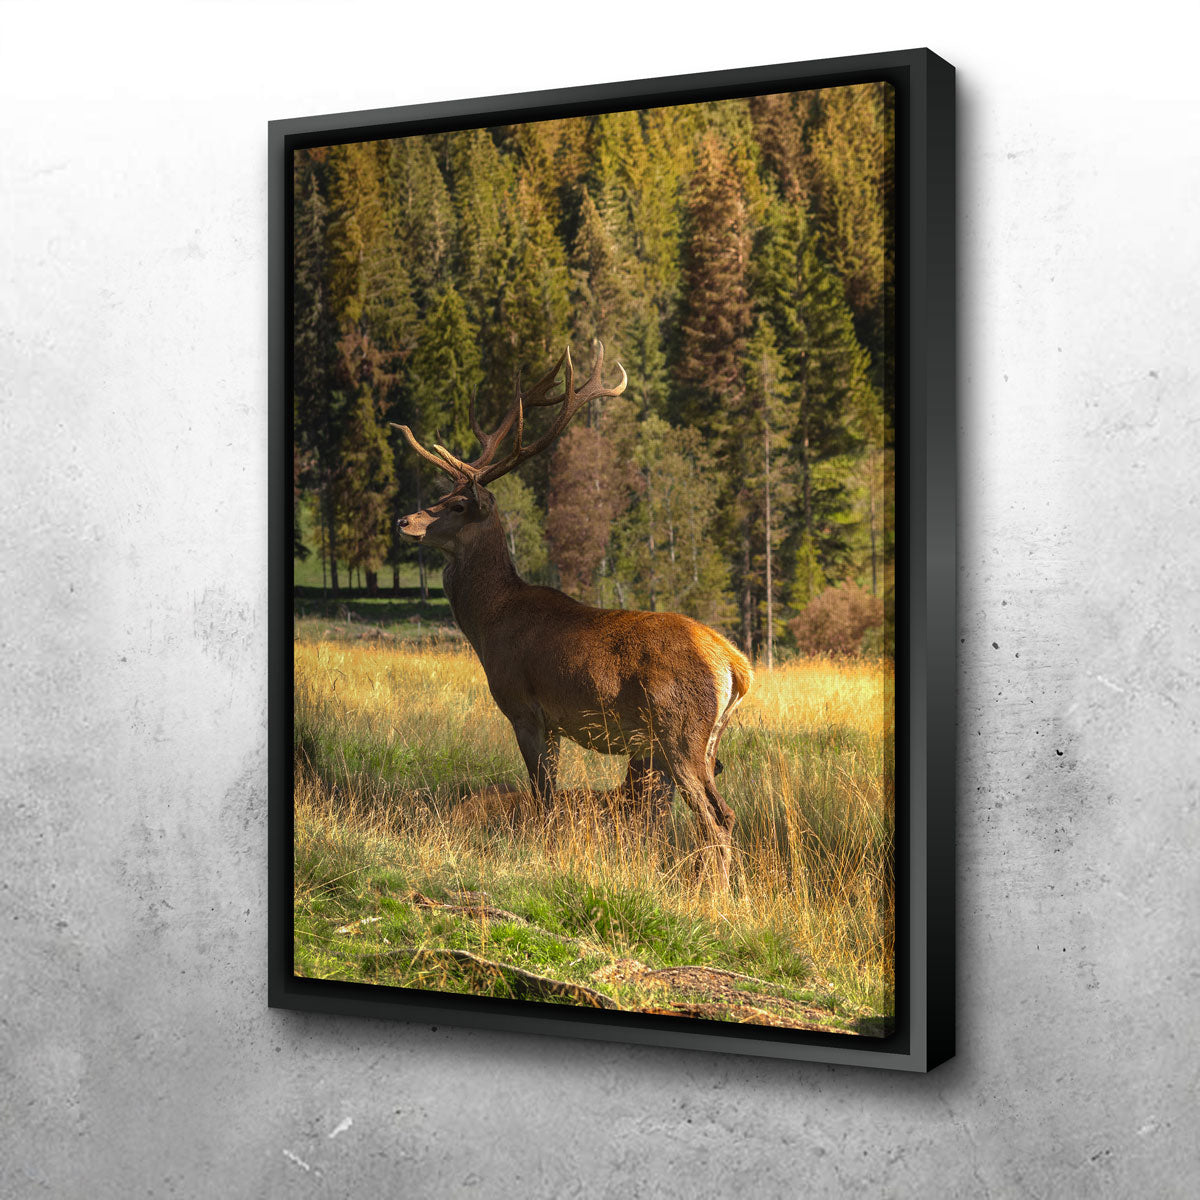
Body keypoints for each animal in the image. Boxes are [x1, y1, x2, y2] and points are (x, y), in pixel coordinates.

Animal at [392, 341, 752, 888]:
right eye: (439, 495)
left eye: (455, 505)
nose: (404, 521)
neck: (490, 624)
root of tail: (734, 664)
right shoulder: (558, 723)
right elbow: (550, 795)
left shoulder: (524, 706)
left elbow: (543, 797)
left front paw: (541, 857)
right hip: (707, 740)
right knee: (722, 812)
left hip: (679, 729)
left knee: (715, 816)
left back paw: (716, 897)